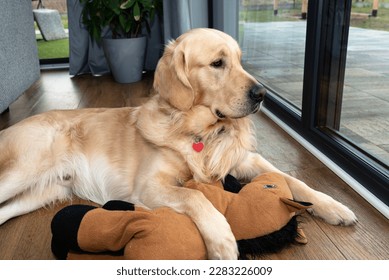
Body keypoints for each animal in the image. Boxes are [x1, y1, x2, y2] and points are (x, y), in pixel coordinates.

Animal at [0, 27, 354, 258]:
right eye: (217, 63)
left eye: (240, 60)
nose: (262, 94)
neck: (201, 133)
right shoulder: (149, 186)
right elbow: (195, 196)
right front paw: (223, 241)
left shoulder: (244, 160)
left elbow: (293, 179)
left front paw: (332, 206)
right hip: (24, 170)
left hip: (45, 191)